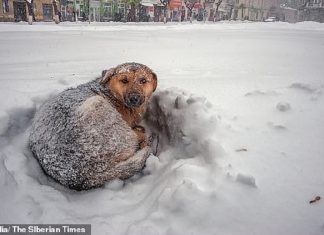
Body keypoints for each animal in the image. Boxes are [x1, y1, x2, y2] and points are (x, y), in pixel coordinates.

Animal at [28, 61, 157, 190]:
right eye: (124, 80)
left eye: (143, 80)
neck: (111, 94)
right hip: (98, 107)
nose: (134, 98)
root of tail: (85, 175)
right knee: (137, 139)